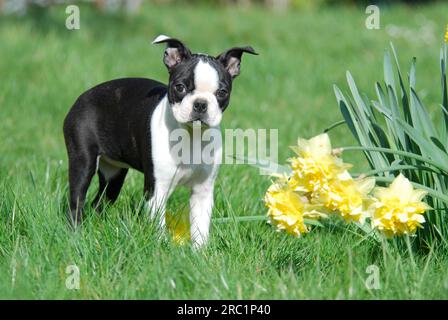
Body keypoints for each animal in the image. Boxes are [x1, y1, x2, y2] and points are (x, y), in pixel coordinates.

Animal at [64, 34, 260, 245]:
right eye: (180, 87)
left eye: (222, 92)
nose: (200, 104)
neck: (191, 136)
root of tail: (82, 97)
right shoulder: (157, 189)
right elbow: (158, 223)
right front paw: (160, 245)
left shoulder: (203, 191)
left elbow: (200, 226)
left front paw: (200, 251)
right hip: (83, 162)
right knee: (76, 201)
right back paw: (75, 235)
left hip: (113, 174)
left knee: (99, 202)